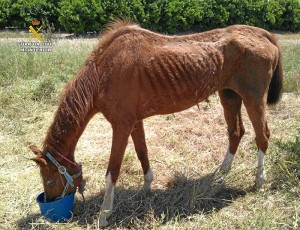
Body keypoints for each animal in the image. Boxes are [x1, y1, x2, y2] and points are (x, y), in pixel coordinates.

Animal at [29, 20, 282, 226]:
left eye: (49, 179)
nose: (50, 204)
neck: (103, 72)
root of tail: (262, 34)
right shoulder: (134, 122)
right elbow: (142, 153)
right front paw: (146, 187)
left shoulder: (121, 126)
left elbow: (112, 171)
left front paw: (104, 214)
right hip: (229, 95)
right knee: (236, 132)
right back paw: (221, 173)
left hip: (253, 98)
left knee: (262, 136)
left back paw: (259, 181)